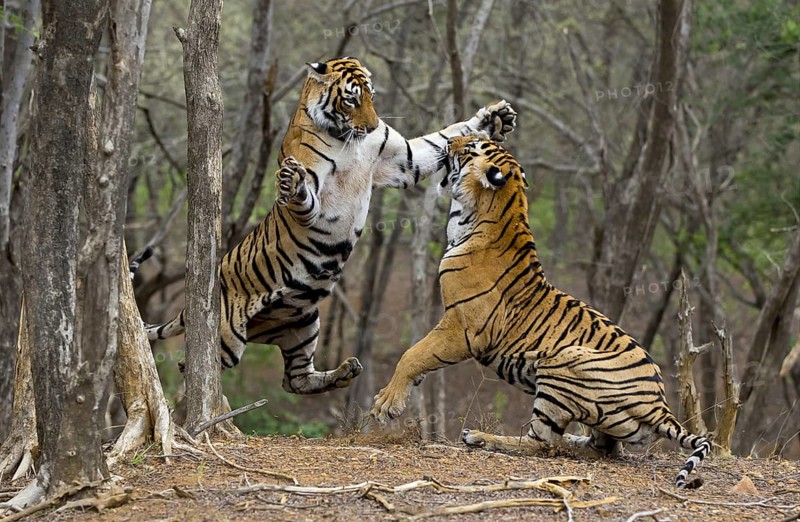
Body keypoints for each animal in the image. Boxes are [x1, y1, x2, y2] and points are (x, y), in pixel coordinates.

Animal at [133, 57, 517, 395]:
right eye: (351, 98)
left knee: (295, 381)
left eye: (371, 95)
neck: (351, 139)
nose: (373, 126)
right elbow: (305, 197)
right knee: (192, 369)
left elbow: (441, 137)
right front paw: (293, 183)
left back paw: (344, 372)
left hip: (303, 322)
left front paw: (493, 117)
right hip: (228, 338)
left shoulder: (402, 161)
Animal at [371, 135, 711, 488]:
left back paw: (479, 437)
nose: (450, 139)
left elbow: (413, 353)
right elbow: (421, 354)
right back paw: (571, 440)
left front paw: (387, 404)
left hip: (562, 367)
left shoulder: (462, 329)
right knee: (601, 448)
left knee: (542, 443)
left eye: (471, 146)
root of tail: (660, 404)